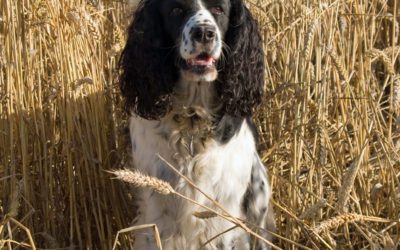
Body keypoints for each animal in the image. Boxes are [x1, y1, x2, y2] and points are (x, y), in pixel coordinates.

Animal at [119, 0, 276, 248]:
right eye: (176, 10)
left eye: (219, 9)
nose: (204, 33)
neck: (192, 120)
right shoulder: (157, 210)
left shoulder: (224, 213)